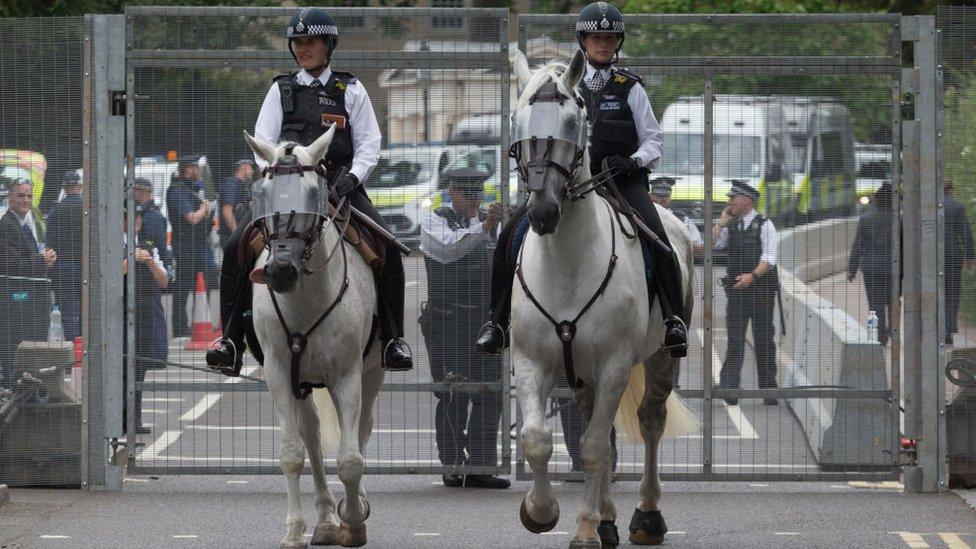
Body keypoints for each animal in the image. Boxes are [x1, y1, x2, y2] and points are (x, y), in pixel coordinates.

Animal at [244, 125, 382, 548]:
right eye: (264, 193)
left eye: (312, 193)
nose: (280, 270)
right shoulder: (278, 374)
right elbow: (293, 453)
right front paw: (295, 530)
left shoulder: (346, 376)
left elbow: (351, 460)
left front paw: (352, 521)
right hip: (301, 381)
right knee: (312, 437)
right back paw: (323, 519)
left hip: (372, 374)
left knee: (362, 430)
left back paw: (354, 507)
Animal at [508, 49, 696, 544]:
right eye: (518, 118)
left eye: (574, 120)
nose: (544, 210)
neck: (567, 264)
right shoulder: (532, 362)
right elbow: (537, 439)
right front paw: (540, 512)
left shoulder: (614, 365)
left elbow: (593, 447)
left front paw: (585, 530)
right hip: (582, 374)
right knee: (603, 426)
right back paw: (608, 517)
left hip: (660, 356)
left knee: (650, 421)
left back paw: (645, 516)